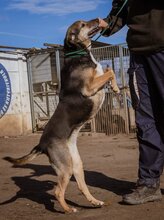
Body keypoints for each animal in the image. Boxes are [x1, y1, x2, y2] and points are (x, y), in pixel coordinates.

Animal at [3, 18, 119, 213]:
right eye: (83, 24)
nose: (98, 18)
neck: (78, 53)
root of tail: (41, 145)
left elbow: (110, 72)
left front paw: (116, 88)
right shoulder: (89, 87)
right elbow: (110, 72)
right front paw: (116, 86)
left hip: (75, 164)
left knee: (81, 186)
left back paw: (94, 202)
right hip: (65, 167)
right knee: (58, 192)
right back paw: (68, 209)